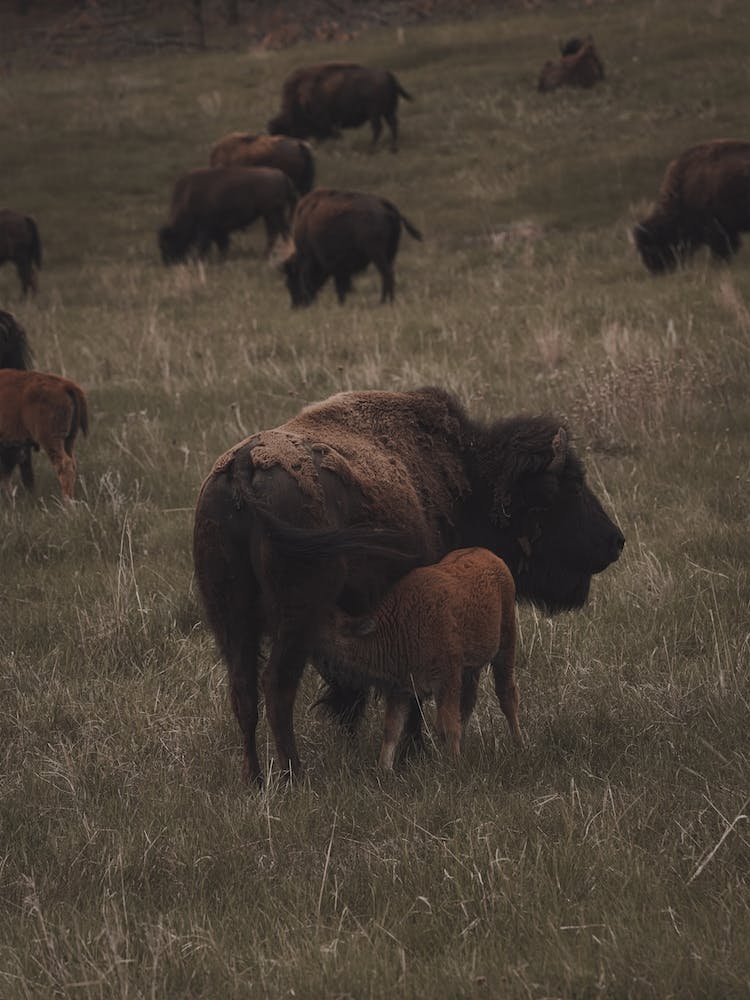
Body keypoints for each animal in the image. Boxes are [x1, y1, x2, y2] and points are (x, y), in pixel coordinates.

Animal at [0, 369, 88, 499]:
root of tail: (64, 385)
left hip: (50, 439)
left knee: (64, 465)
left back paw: (67, 501)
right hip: (69, 438)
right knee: (72, 463)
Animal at [158, 165, 297, 265]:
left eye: (167, 243)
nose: (167, 263)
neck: (188, 198)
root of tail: (283, 176)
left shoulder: (205, 228)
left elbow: (204, 245)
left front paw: (200, 259)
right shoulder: (219, 230)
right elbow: (222, 245)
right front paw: (221, 259)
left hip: (271, 213)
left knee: (276, 232)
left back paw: (269, 255)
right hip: (272, 214)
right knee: (280, 231)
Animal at [268, 62, 412, 152]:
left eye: (283, 131)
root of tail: (388, 75)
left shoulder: (324, 122)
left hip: (375, 113)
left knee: (378, 128)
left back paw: (371, 149)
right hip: (388, 111)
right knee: (392, 125)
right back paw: (393, 149)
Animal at [281, 188, 422, 306]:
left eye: (290, 281)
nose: (296, 306)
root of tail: (386, 206)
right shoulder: (339, 267)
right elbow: (341, 284)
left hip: (377, 254)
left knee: (387, 274)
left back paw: (384, 301)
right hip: (390, 253)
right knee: (388, 274)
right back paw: (386, 300)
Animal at [319, 547, 520, 770]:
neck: (399, 625)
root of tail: (490, 555)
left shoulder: (447, 681)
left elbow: (447, 725)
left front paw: (454, 764)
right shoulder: (400, 688)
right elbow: (392, 728)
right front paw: (384, 768)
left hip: (506, 646)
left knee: (507, 695)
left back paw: (519, 746)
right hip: (472, 668)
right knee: (468, 702)